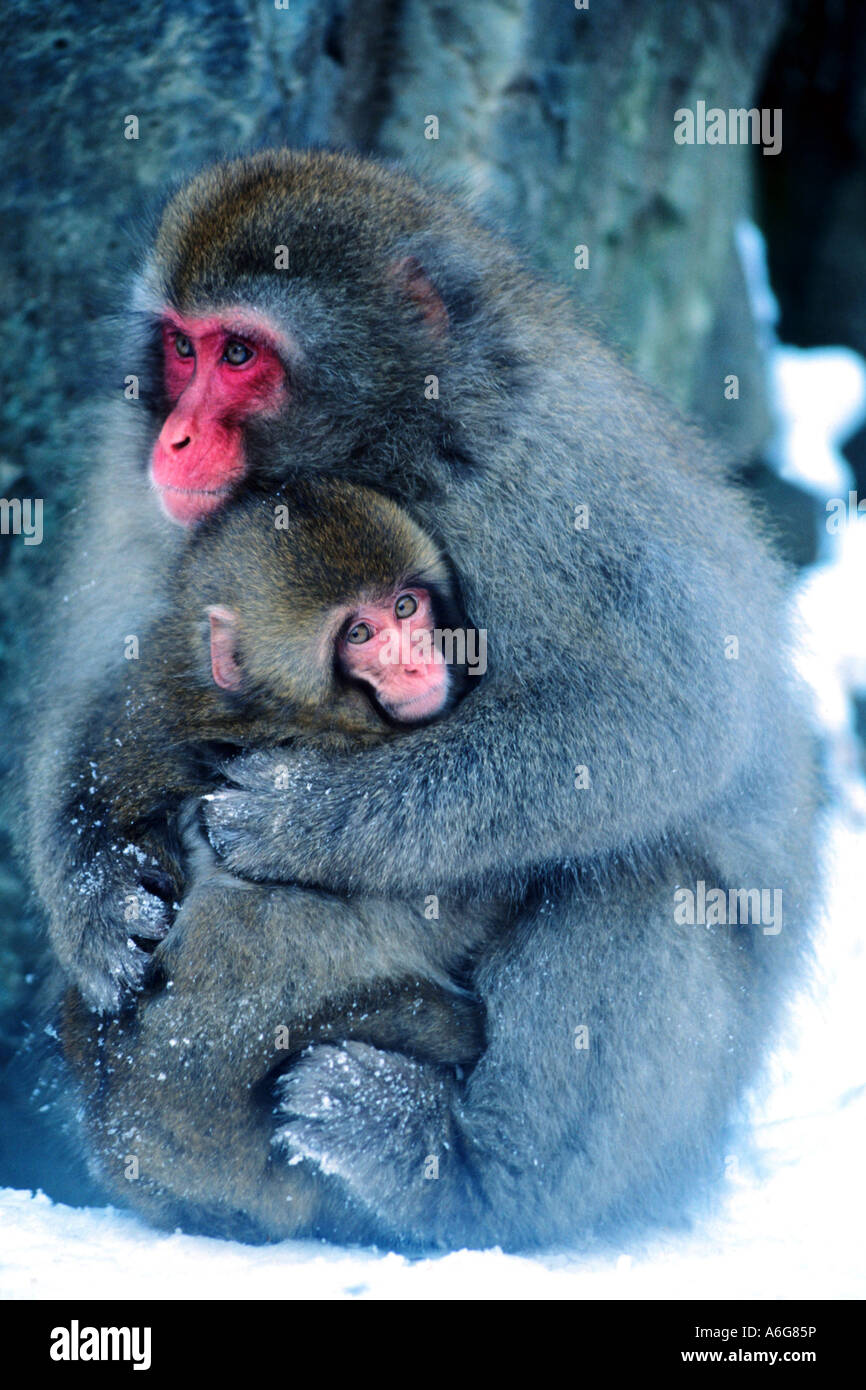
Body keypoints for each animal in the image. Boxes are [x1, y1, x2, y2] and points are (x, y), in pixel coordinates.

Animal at [28, 149, 817, 1251]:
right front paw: (97, 901)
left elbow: (667, 713)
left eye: (240, 353)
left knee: (641, 872)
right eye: (181, 348)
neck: (390, 439)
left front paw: (305, 817)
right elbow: (111, 672)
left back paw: (461, 1171)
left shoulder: (539, 478)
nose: (174, 439)